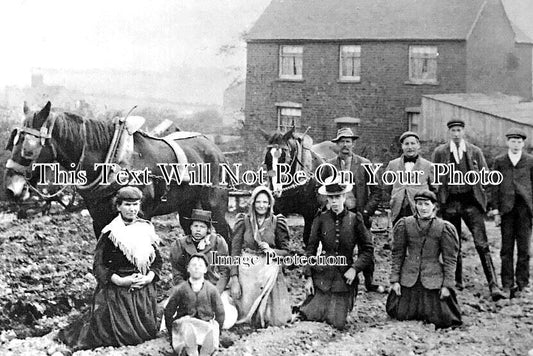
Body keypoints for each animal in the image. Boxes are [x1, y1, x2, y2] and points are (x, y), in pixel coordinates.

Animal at [4, 103, 230, 242]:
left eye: (28, 148)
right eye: (13, 140)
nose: (10, 189)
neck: (114, 158)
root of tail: (214, 147)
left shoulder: (142, 216)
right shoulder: (99, 218)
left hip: (215, 206)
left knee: (225, 234)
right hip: (188, 207)